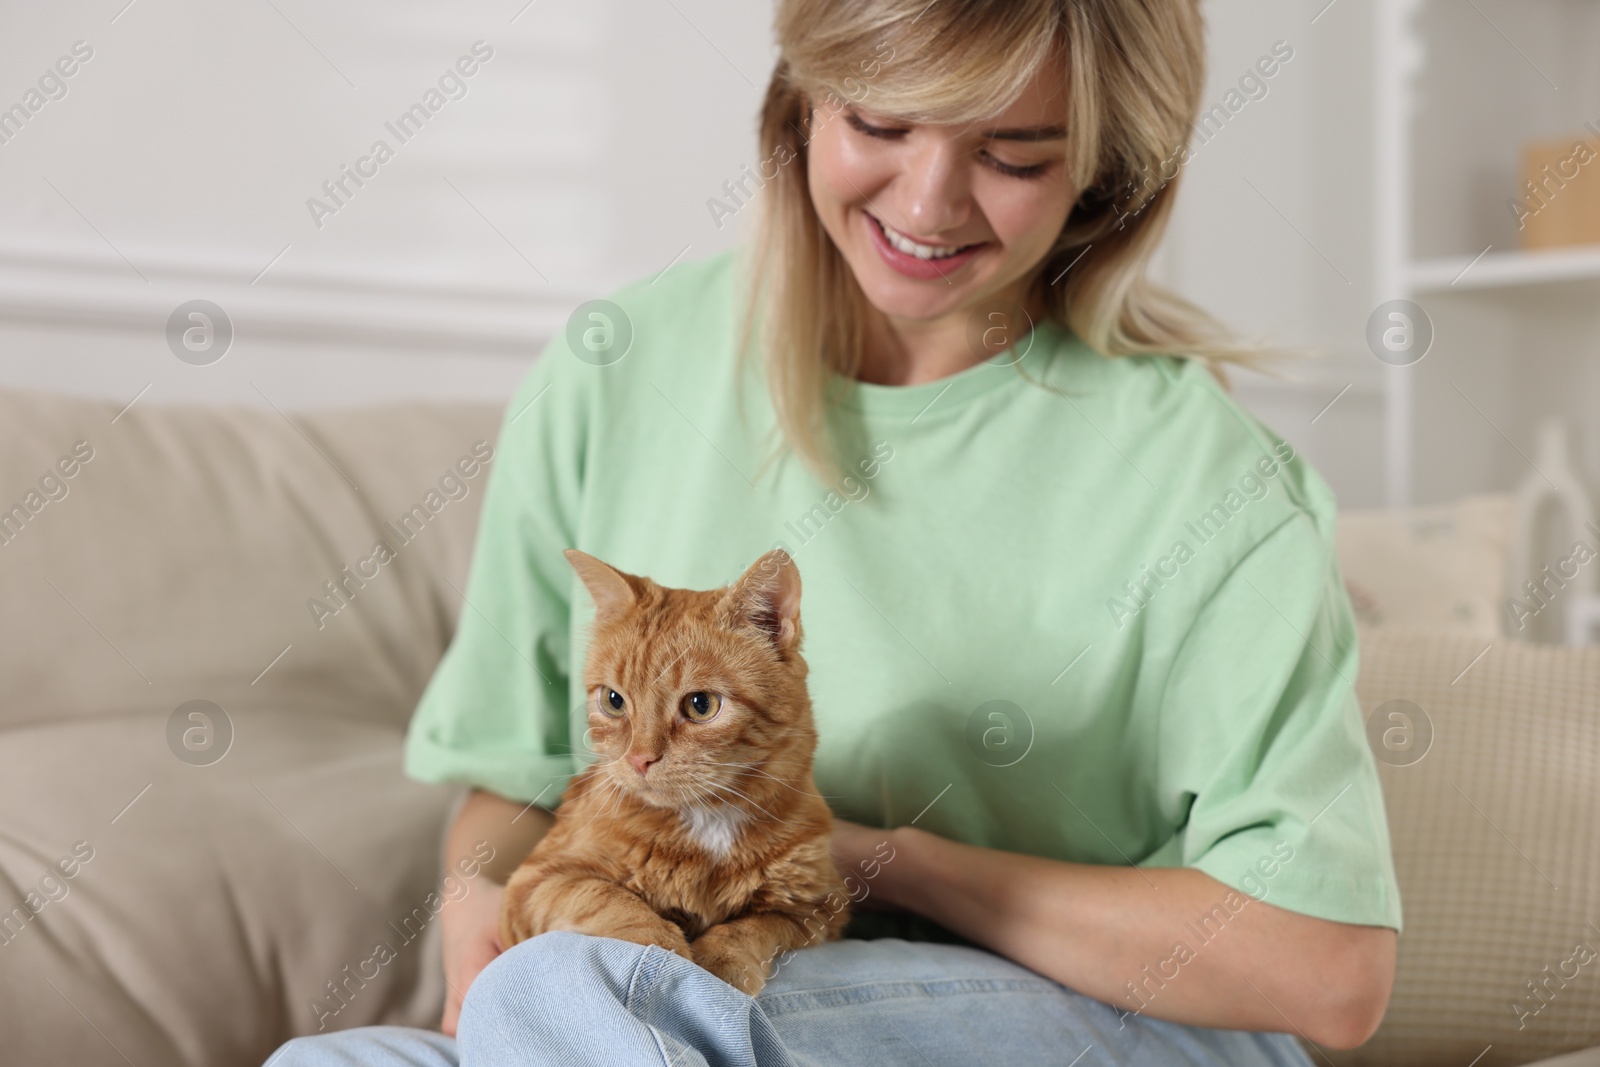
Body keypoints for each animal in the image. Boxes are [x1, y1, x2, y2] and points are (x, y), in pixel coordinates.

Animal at [499, 547, 851, 998]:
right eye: (613, 701)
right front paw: (665, 951)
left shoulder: (820, 908)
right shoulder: (534, 884)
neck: (708, 822)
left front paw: (722, 963)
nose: (639, 759)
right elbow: (609, 898)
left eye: (701, 705)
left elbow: (754, 926)